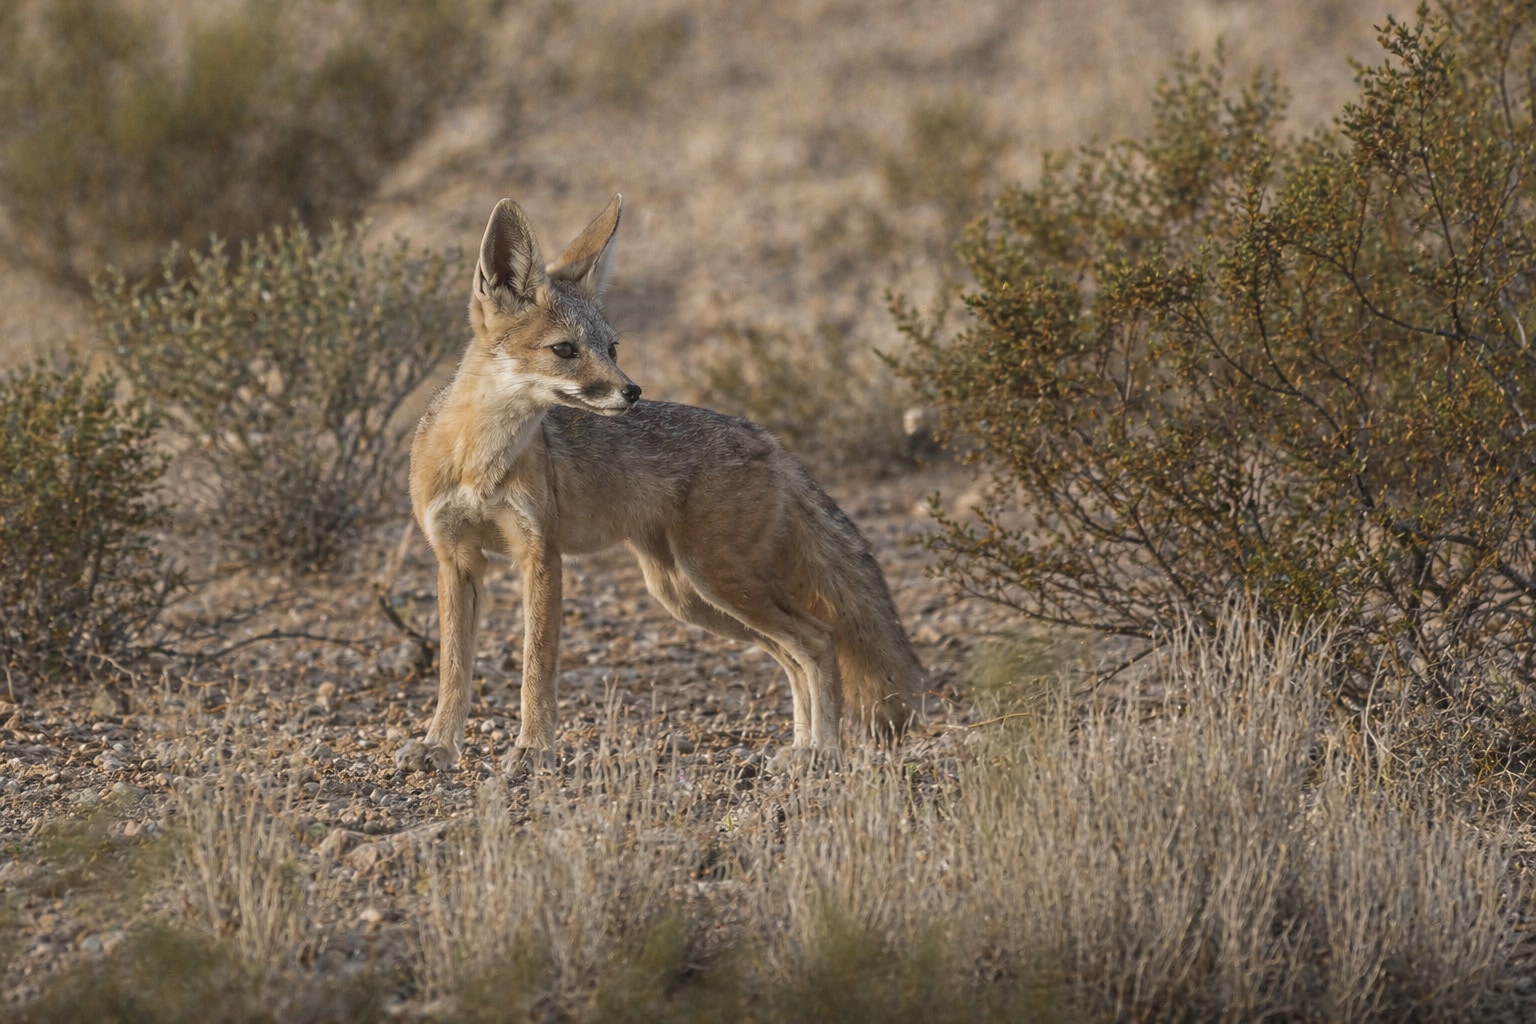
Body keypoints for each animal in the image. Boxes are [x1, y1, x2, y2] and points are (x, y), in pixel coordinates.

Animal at [394, 194, 923, 774]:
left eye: (612, 348)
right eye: (565, 350)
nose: (632, 392)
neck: (476, 460)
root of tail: (769, 438)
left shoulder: (540, 554)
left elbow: (537, 667)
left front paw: (533, 749)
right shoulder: (457, 558)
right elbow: (453, 670)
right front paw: (439, 744)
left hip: (717, 582)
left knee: (819, 640)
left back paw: (822, 751)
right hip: (691, 595)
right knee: (794, 653)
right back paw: (804, 746)